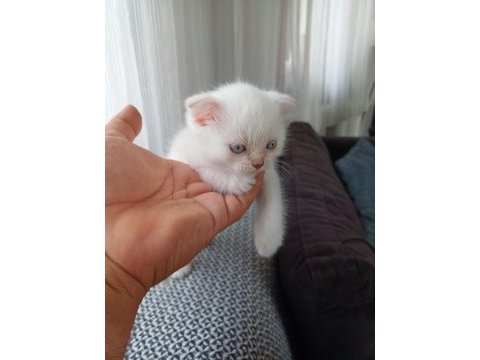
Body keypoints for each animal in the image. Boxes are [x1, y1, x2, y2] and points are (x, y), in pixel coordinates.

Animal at [169, 82, 296, 278]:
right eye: (237, 148)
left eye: (271, 145)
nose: (258, 163)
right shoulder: (192, 162)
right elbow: (213, 172)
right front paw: (237, 182)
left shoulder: (268, 173)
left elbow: (273, 198)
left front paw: (268, 242)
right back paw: (180, 269)